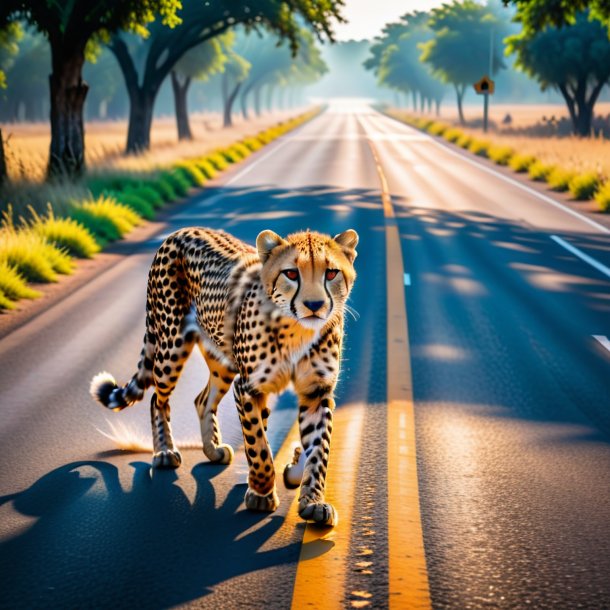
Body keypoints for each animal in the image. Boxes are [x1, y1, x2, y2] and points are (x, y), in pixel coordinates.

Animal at [90, 226, 356, 524]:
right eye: (291, 273)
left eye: (331, 273)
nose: (314, 304)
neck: (298, 331)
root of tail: (180, 231)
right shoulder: (248, 387)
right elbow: (258, 447)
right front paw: (261, 493)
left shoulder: (316, 393)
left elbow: (318, 450)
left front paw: (312, 499)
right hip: (171, 345)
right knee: (157, 399)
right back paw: (165, 451)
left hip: (223, 362)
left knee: (202, 400)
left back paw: (214, 450)